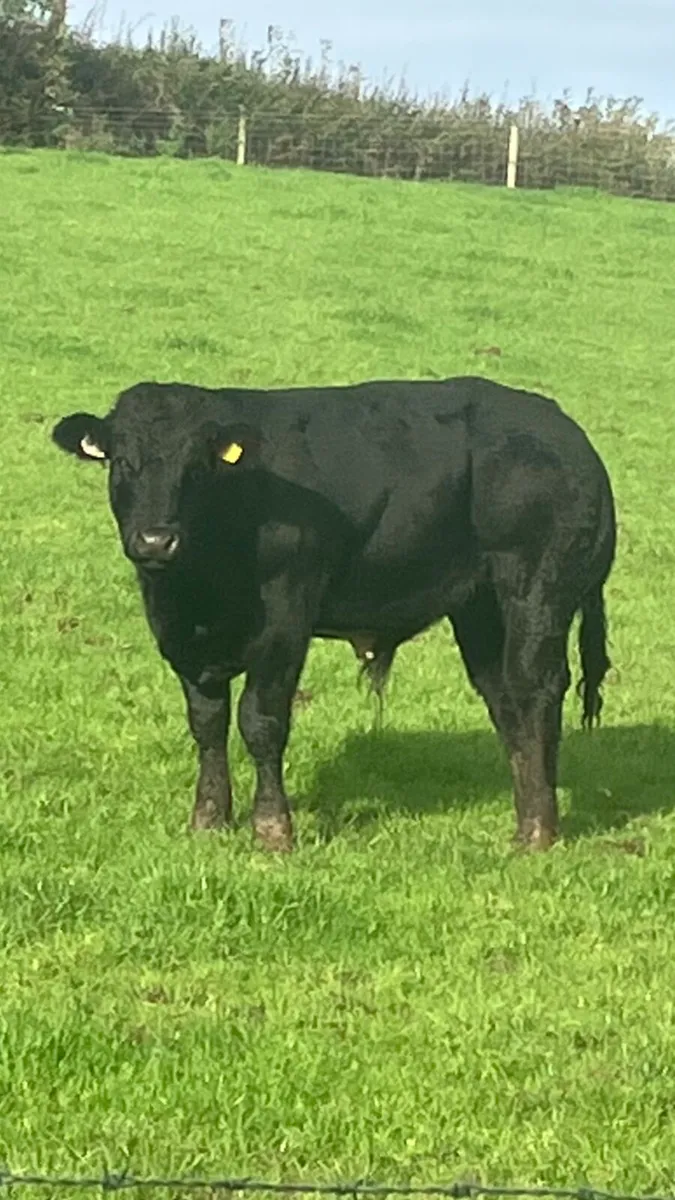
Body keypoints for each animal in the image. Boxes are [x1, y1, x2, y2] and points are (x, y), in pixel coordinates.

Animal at [52, 375, 616, 853]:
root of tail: (564, 431)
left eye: (197, 466)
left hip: (536, 590)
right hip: (479, 608)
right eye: (123, 460)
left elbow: (260, 722)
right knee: (504, 699)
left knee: (535, 688)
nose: (155, 539)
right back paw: (527, 817)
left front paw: (273, 832)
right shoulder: (185, 639)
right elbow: (207, 724)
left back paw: (539, 832)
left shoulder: (284, 621)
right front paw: (208, 821)